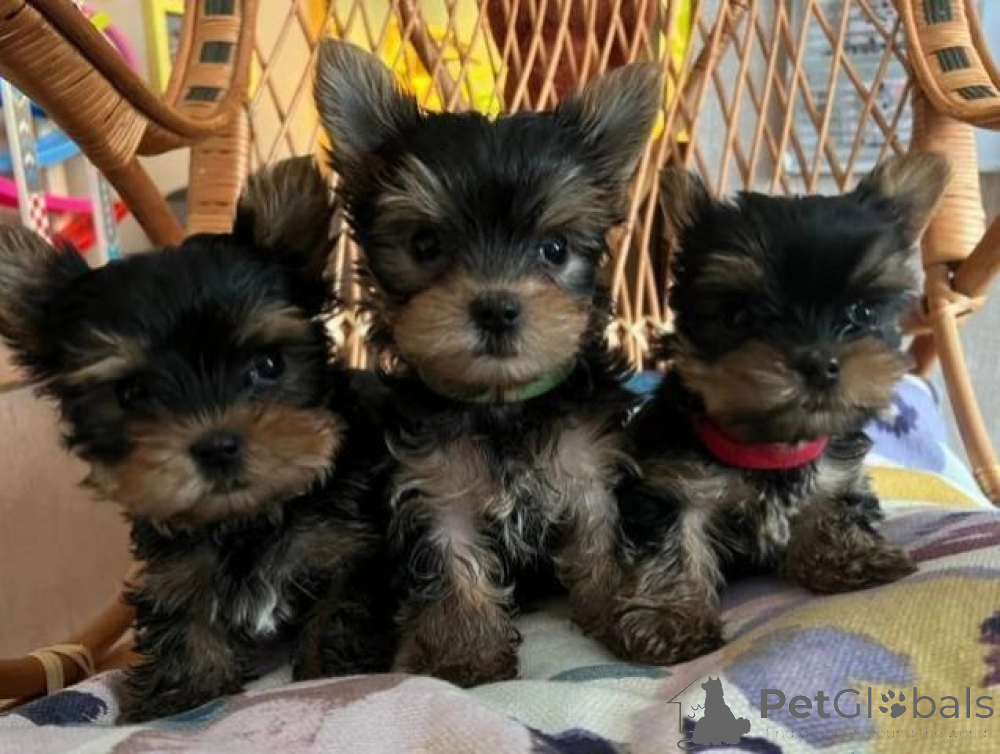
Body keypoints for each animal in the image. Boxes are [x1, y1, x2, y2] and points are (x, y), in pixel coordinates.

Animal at [0, 158, 395, 721]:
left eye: (267, 364)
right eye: (132, 393)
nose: (217, 446)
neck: (244, 520)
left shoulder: (348, 546)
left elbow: (340, 608)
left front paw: (334, 671)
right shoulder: (174, 566)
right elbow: (182, 616)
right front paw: (182, 695)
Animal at [314, 41, 661, 685]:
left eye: (555, 249)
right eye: (424, 245)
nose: (496, 308)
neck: (502, 403)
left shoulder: (588, 463)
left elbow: (600, 538)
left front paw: (618, 611)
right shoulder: (435, 485)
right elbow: (451, 564)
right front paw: (466, 651)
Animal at [609, 154, 950, 665]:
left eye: (862, 313)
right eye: (738, 316)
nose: (819, 362)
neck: (768, 446)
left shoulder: (836, 473)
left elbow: (835, 506)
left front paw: (852, 556)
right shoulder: (671, 484)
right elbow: (670, 547)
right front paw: (670, 620)